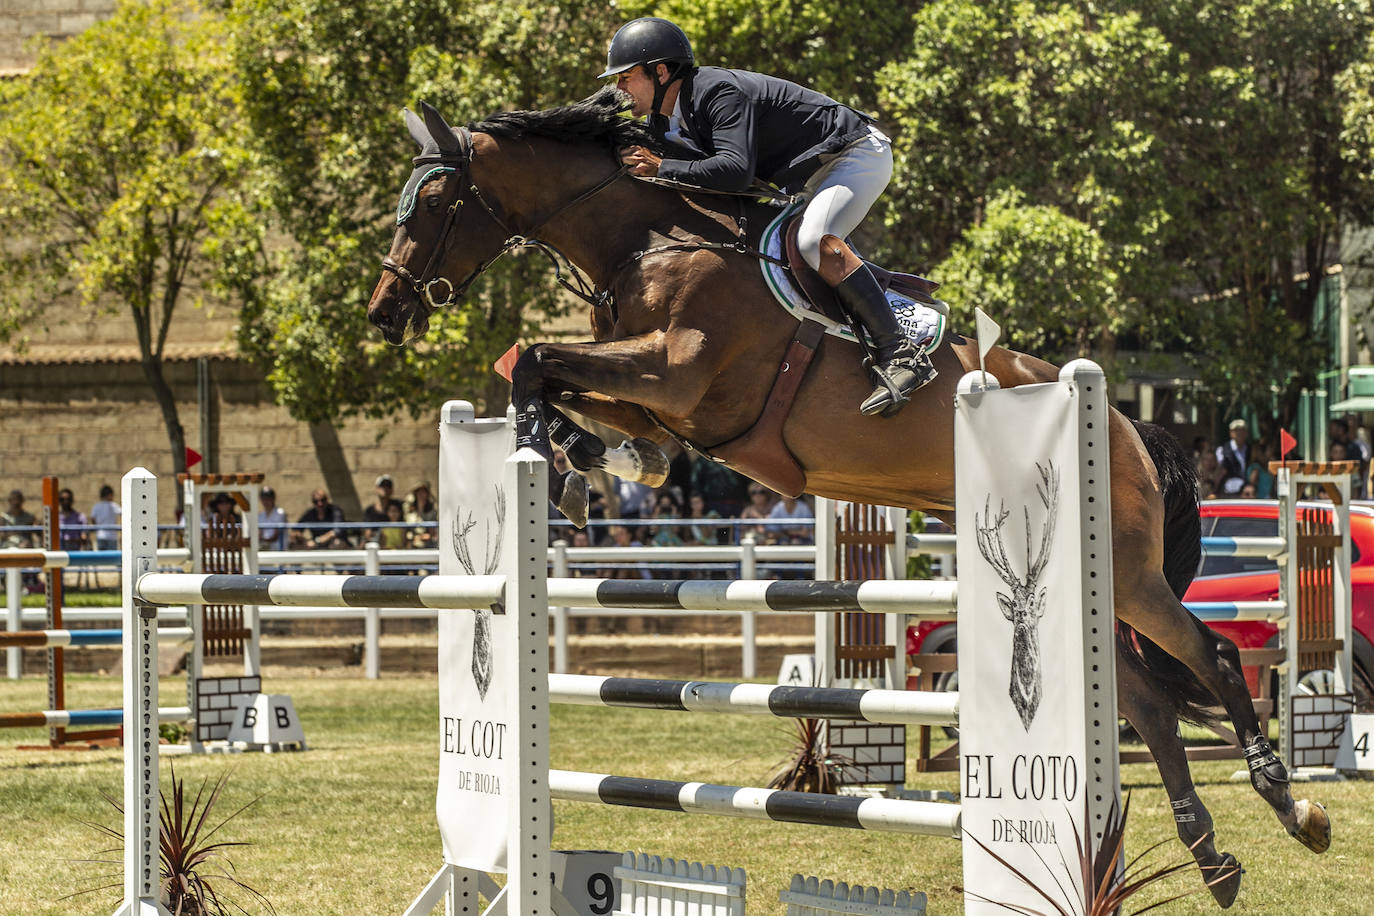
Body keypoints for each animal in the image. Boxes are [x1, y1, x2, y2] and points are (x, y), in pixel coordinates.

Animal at [368, 89, 1330, 906]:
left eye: (430, 205)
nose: (384, 314)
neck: (647, 240)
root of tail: (1128, 424)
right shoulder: (655, 393)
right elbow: (557, 379)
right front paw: (585, 459)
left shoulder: (678, 374)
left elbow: (535, 356)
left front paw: (553, 454)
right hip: (1093, 594)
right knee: (1153, 706)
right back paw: (1213, 861)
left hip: (1126, 572)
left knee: (1210, 658)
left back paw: (1294, 807)